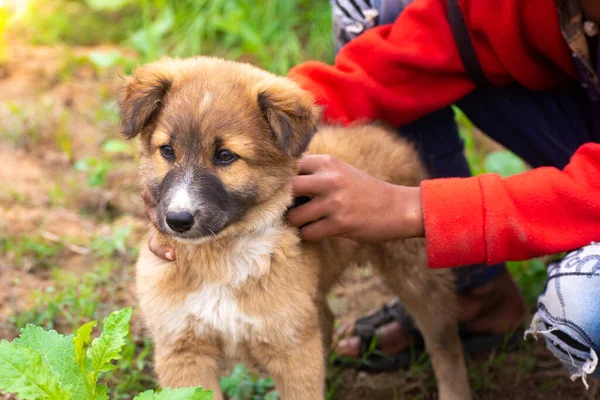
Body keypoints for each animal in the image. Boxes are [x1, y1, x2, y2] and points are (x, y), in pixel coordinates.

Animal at [119, 57, 472, 400]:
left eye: (225, 156)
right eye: (167, 151)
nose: (178, 220)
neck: (221, 256)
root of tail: (383, 134)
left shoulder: (293, 350)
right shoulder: (183, 350)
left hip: (418, 275)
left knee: (445, 344)